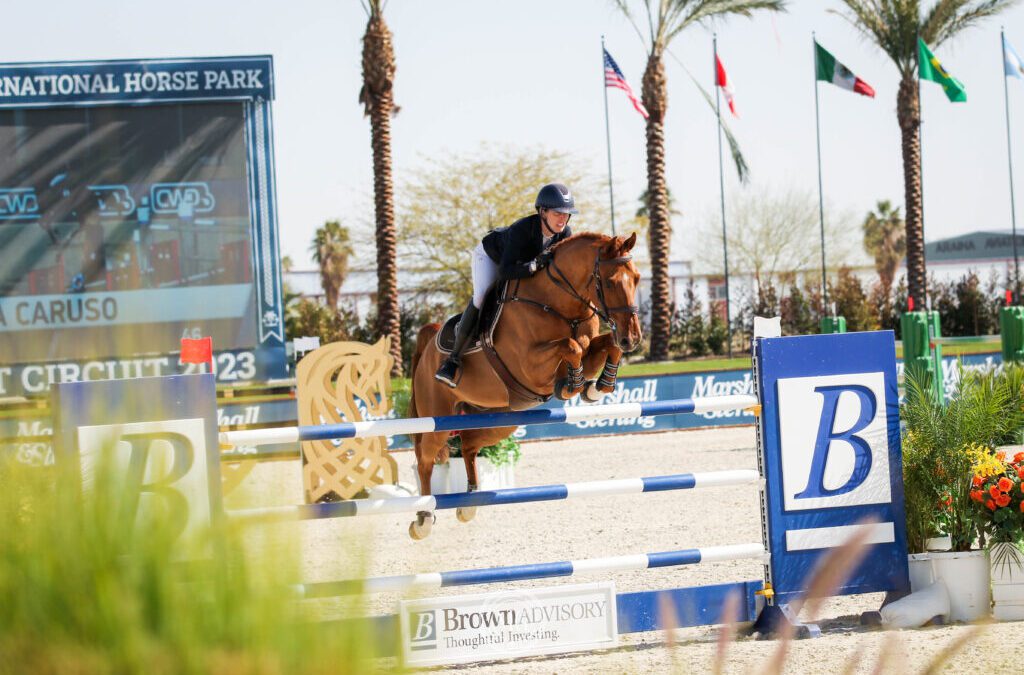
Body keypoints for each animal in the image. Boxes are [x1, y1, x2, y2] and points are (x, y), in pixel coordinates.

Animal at [406, 232, 643, 539]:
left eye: (637, 278)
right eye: (612, 282)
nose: (633, 338)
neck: (560, 304)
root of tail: (429, 341)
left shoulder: (588, 350)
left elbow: (600, 346)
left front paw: (597, 384)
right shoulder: (531, 367)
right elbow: (571, 346)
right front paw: (573, 384)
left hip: (500, 419)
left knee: (469, 445)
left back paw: (469, 504)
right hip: (437, 419)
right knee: (425, 459)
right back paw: (423, 519)